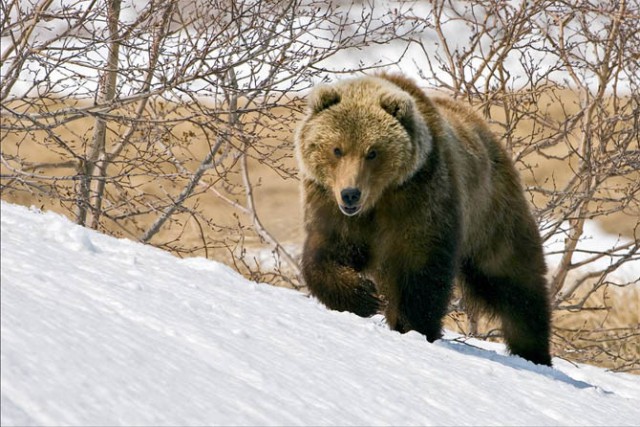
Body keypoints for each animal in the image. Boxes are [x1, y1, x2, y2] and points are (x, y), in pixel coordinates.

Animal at [298, 72, 552, 366]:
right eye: (337, 149)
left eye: (372, 152)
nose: (351, 194)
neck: (378, 199)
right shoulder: (332, 208)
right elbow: (324, 255)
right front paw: (364, 296)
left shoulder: (419, 198)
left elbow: (420, 269)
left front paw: (412, 325)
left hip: (490, 212)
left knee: (513, 279)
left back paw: (534, 351)